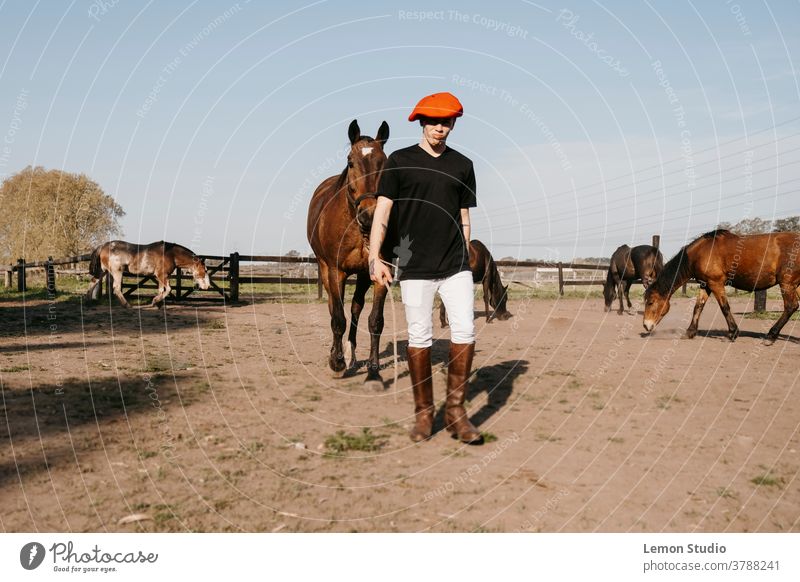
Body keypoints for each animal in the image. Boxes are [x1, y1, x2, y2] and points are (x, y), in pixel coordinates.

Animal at [306, 120, 390, 390]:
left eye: (383, 162)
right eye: (350, 161)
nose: (370, 215)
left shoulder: (379, 272)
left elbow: (375, 321)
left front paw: (373, 372)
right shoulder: (335, 271)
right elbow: (337, 318)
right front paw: (336, 363)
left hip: (362, 275)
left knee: (355, 308)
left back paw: (351, 353)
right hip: (326, 270)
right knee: (336, 308)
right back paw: (337, 355)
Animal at [644, 230, 800, 344]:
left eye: (650, 302)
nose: (646, 325)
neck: (701, 252)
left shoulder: (716, 283)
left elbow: (724, 307)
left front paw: (732, 333)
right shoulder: (705, 285)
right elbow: (698, 307)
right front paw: (690, 332)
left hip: (787, 284)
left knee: (790, 306)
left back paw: (771, 336)